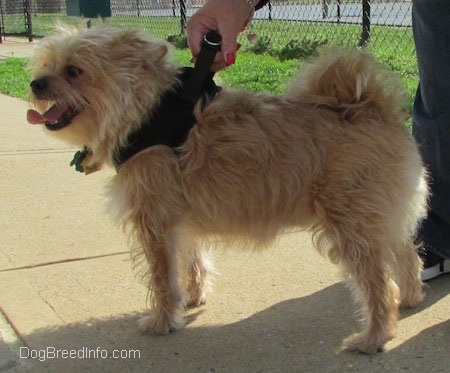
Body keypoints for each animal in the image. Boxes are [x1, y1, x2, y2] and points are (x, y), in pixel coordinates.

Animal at [27, 25, 428, 352]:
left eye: (74, 70)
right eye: (46, 65)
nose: (36, 83)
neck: (145, 112)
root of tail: (372, 105)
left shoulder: (154, 223)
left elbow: (162, 277)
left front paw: (162, 320)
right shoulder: (181, 221)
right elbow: (191, 260)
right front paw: (193, 296)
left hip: (352, 225)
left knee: (378, 283)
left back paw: (374, 336)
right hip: (381, 217)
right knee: (407, 256)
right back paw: (409, 298)